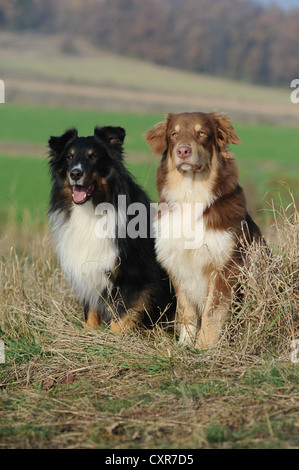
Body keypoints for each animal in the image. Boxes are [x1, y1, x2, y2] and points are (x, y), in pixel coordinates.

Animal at [47, 125, 176, 330]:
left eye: (93, 156)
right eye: (69, 157)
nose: (75, 174)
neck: (92, 209)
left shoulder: (134, 275)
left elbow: (121, 316)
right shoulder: (89, 269)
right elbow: (91, 311)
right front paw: (90, 332)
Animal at [146, 113, 264, 348]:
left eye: (202, 133)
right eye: (174, 134)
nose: (183, 151)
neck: (192, 194)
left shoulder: (225, 268)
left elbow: (212, 312)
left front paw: (204, 348)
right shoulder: (178, 264)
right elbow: (187, 310)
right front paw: (185, 344)